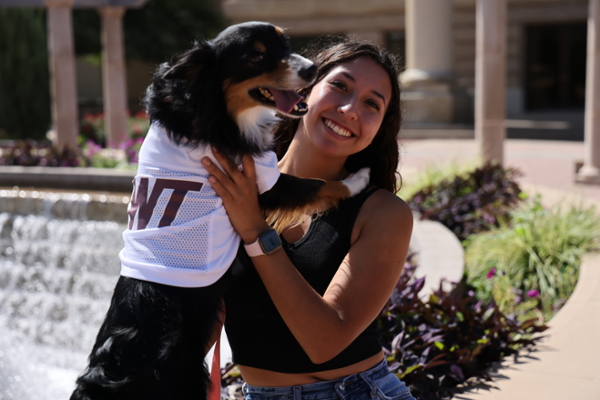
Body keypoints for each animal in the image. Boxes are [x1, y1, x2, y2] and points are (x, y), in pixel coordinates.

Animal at [70, 21, 370, 400]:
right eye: (255, 56)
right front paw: (357, 180)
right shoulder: (264, 182)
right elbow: (316, 183)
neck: (208, 109)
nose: (312, 69)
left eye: (285, 42)